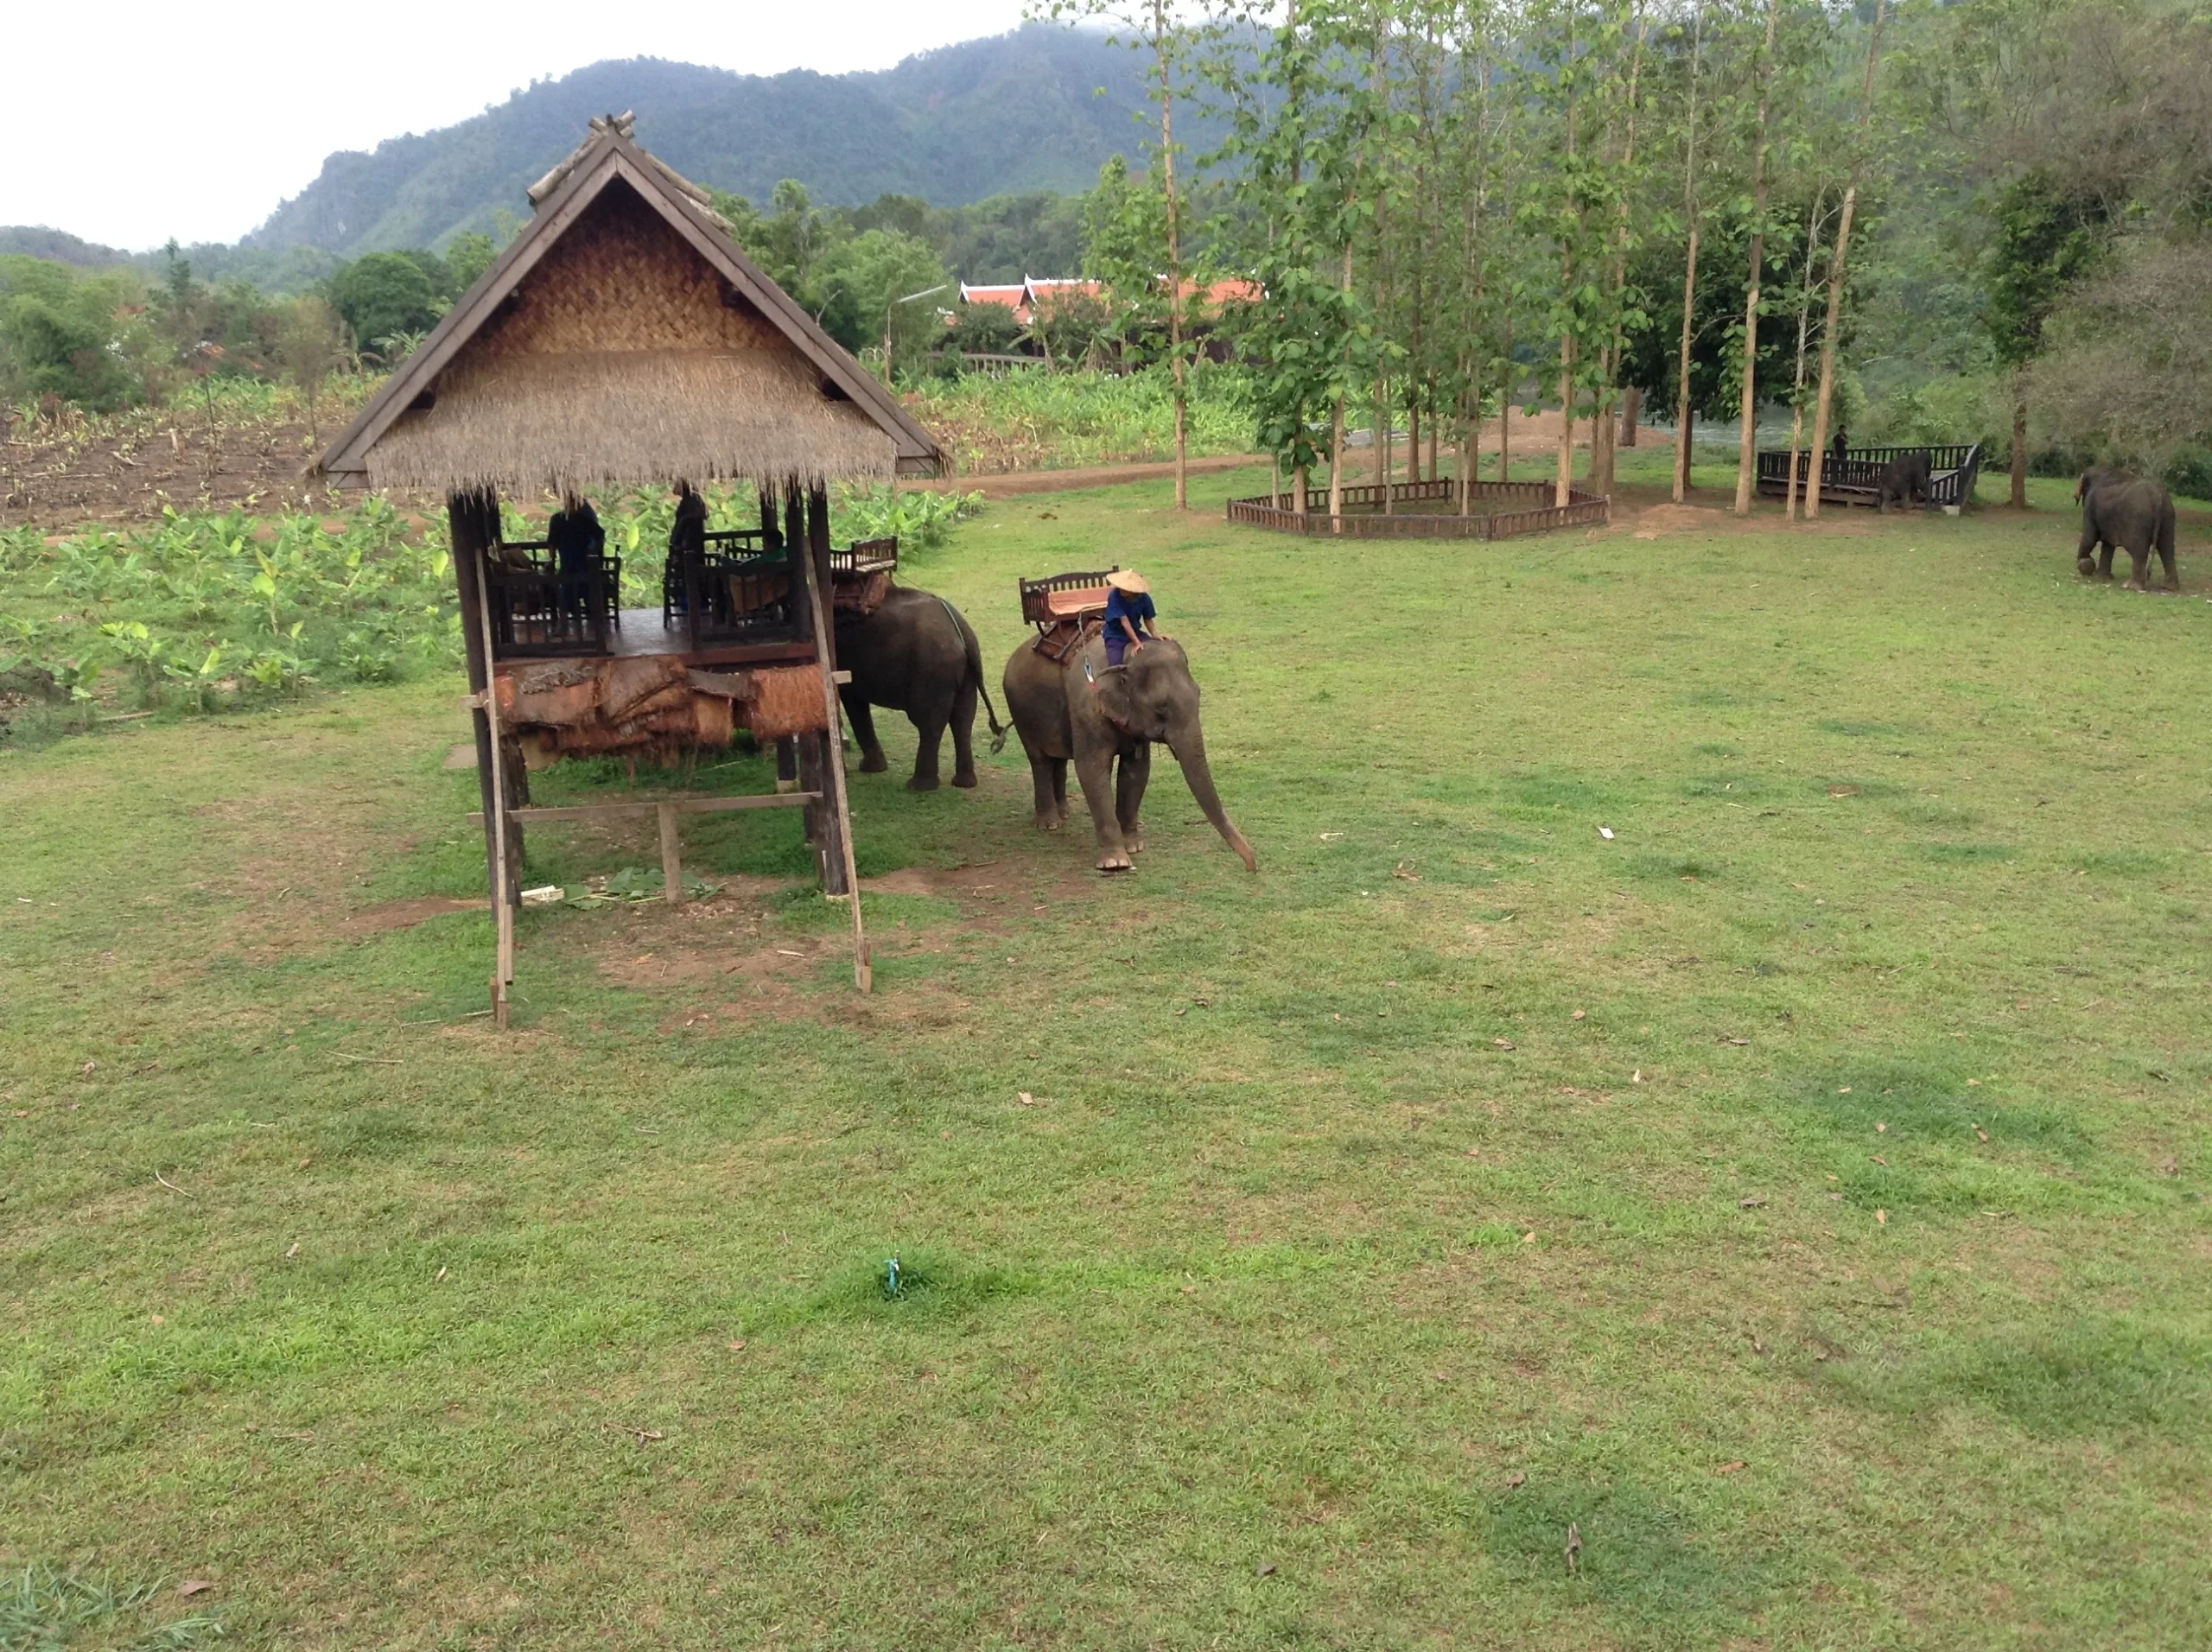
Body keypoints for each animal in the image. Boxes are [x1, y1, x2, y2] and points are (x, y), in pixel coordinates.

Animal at [831, 583, 1004, 791]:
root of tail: (962, 632)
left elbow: (851, 700)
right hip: (967, 673)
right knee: (962, 720)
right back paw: (964, 784)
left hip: (932, 669)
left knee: (928, 722)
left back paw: (918, 786)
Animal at [1000, 627, 1256, 880]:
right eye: (1162, 708)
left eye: (1199, 695)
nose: (1252, 866)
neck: (1124, 657)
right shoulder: (1086, 709)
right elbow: (1091, 770)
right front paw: (1116, 863)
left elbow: (1136, 771)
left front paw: (1134, 846)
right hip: (1021, 710)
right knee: (1040, 760)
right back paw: (1049, 824)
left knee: (1058, 759)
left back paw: (1064, 814)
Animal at [2070, 464, 2177, 592]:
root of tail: (2156, 498)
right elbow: (2108, 545)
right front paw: (2102, 578)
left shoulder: (2090, 507)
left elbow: (2090, 538)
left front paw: (2086, 565)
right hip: (2168, 516)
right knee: (2167, 549)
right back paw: (2169, 587)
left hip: (2138, 520)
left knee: (2139, 551)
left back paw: (2131, 586)